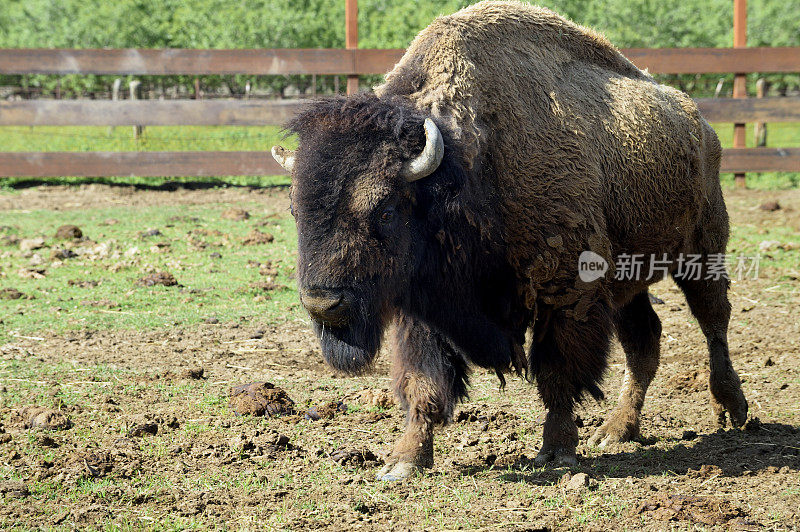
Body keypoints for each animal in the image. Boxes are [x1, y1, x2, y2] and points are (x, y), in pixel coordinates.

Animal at [272, 1, 748, 482]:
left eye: (385, 210)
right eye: (296, 209)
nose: (323, 304)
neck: (464, 170)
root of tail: (701, 124)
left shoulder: (567, 293)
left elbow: (556, 373)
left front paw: (558, 452)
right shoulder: (423, 308)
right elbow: (423, 382)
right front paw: (405, 460)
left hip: (702, 252)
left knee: (713, 321)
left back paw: (733, 408)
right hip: (629, 282)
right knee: (644, 342)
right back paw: (616, 431)